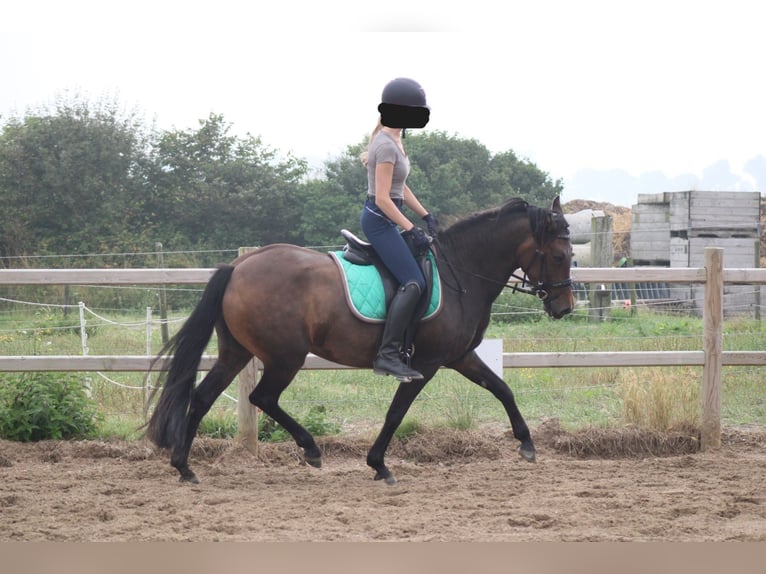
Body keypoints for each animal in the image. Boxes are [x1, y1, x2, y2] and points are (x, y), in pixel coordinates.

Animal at [147, 196, 572, 484]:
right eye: (559, 256)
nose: (564, 307)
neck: (461, 272)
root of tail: (238, 266)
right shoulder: (426, 364)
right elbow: (396, 412)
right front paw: (379, 464)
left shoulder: (460, 356)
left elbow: (501, 388)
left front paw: (527, 444)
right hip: (285, 357)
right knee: (262, 397)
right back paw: (311, 449)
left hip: (236, 352)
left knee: (203, 397)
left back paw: (184, 467)